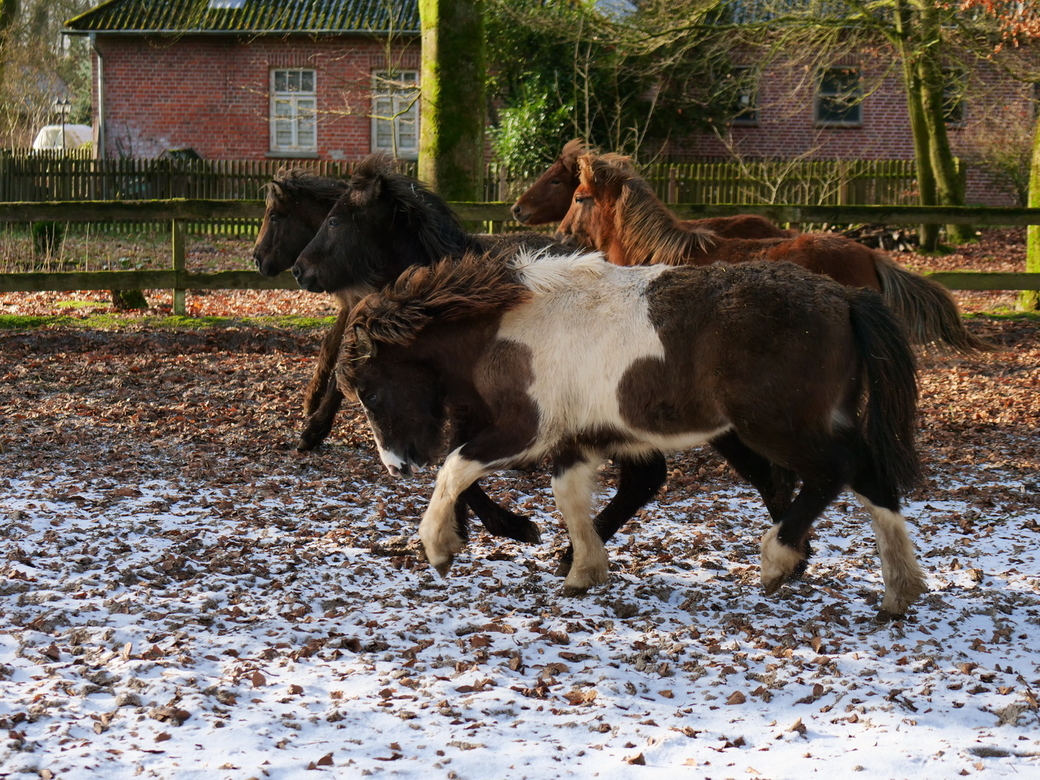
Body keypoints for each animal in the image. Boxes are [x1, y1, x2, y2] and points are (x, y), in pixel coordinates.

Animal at [339, 250, 927, 615]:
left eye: (369, 392)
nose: (397, 464)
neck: (503, 332)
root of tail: (845, 299)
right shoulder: (577, 439)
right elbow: (569, 496)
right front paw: (583, 570)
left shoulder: (525, 430)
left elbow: (456, 466)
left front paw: (439, 547)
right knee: (871, 477)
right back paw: (899, 593)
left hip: (776, 427)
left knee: (837, 472)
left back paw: (779, 560)